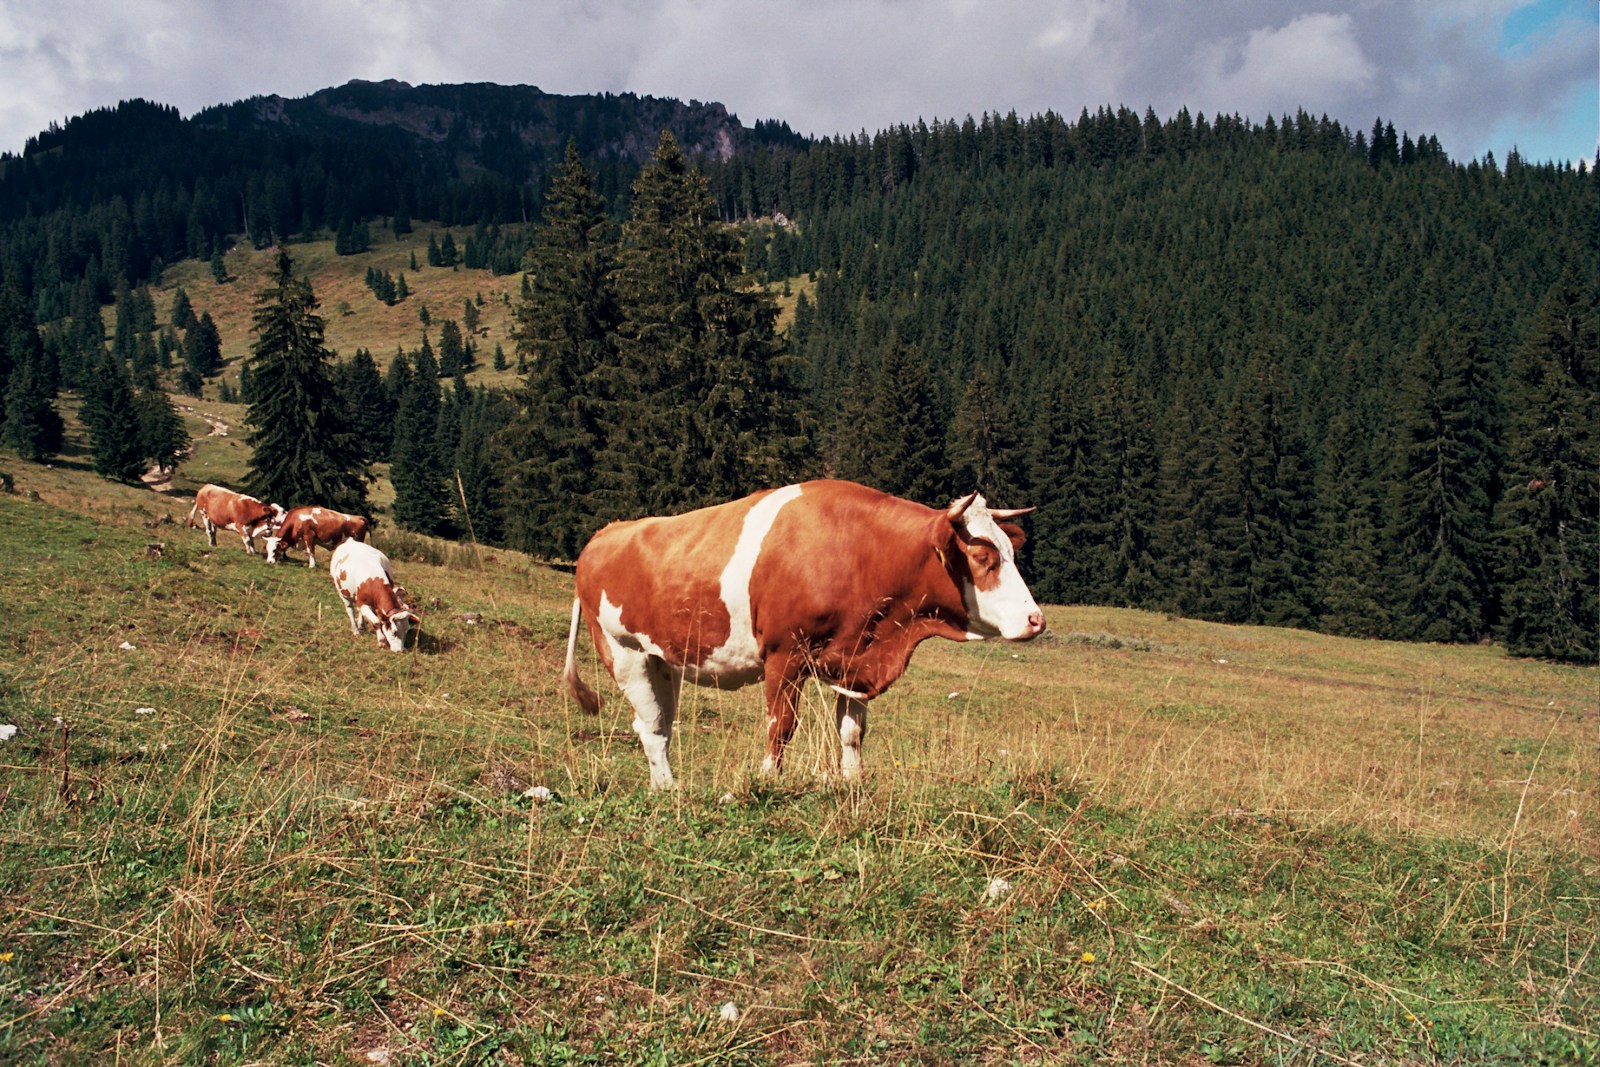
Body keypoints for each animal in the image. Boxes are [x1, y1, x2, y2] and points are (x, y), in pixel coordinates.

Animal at [563, 479, 1045, 789]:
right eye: (983, 557)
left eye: (1010, 550)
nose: (1036, 620)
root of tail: (606, 534)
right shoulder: (785, 653)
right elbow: (781, 726)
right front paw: (766, 781)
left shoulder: (856, 660)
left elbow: (852, 732)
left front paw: (853, 782)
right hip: (624, 652)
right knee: (650, 726)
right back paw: (667, 788)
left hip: (663, 659)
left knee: (658, 723)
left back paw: (665, 786)